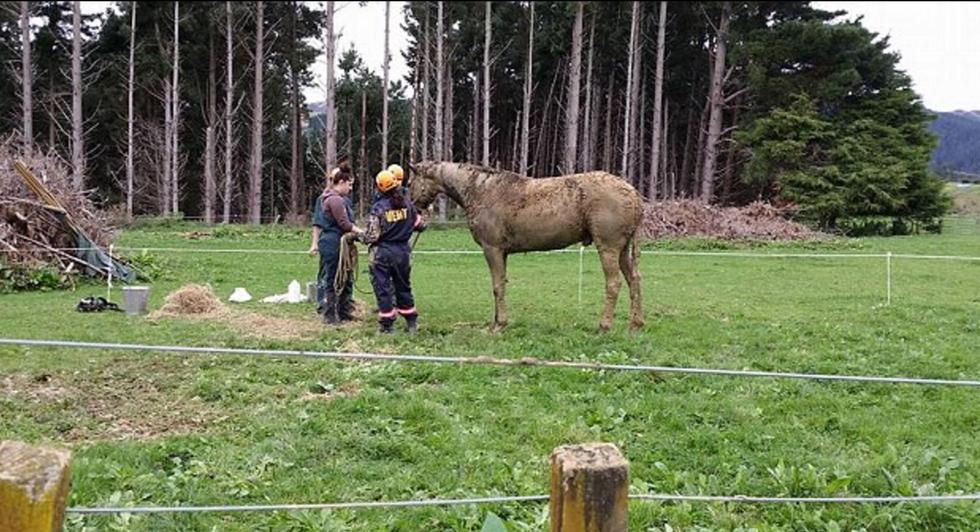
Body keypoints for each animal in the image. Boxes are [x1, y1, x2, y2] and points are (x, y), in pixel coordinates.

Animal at [408, 160, 644, 330]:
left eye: (410, 183)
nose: (414, 209)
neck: (480, 190)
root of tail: (633, 193)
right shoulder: (502, 253)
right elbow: (500, 285)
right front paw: (497, 320)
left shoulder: (492, 249)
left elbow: (497, 286)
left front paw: (500, 324)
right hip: (622, 250)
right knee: (633, 280)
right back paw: (636, 324)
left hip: (608, 248)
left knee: (614, 284)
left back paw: (604, 326)